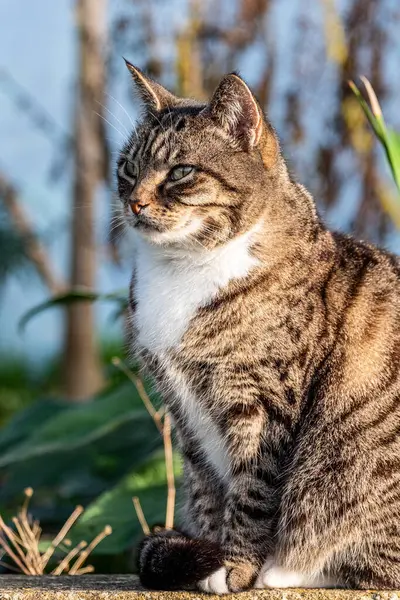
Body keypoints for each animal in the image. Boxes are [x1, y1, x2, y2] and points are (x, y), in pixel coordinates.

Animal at [117, 58, 400, 592]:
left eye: (181, 172)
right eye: (127, 169)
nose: (134, 203)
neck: (183, 268)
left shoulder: (261, 401)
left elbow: (252, 492)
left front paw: (235, 567)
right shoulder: (184, 414)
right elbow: (207, 489)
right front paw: (207, 557)